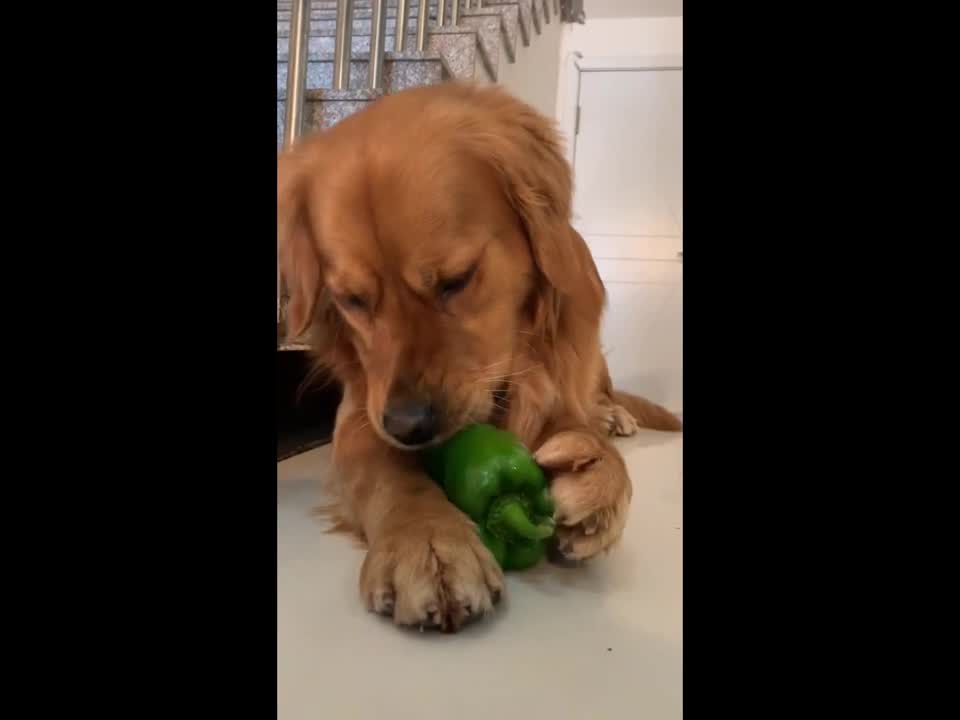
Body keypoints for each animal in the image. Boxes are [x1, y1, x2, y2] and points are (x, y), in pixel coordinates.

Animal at [278, 81, 684, 632]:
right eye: (353, 300)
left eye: (458, 279)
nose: (408, 426)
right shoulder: (360, 418)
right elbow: (390, 475)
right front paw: (428, 541)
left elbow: (579, 430)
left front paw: (597, 471)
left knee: (602, 391)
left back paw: (614, 414)